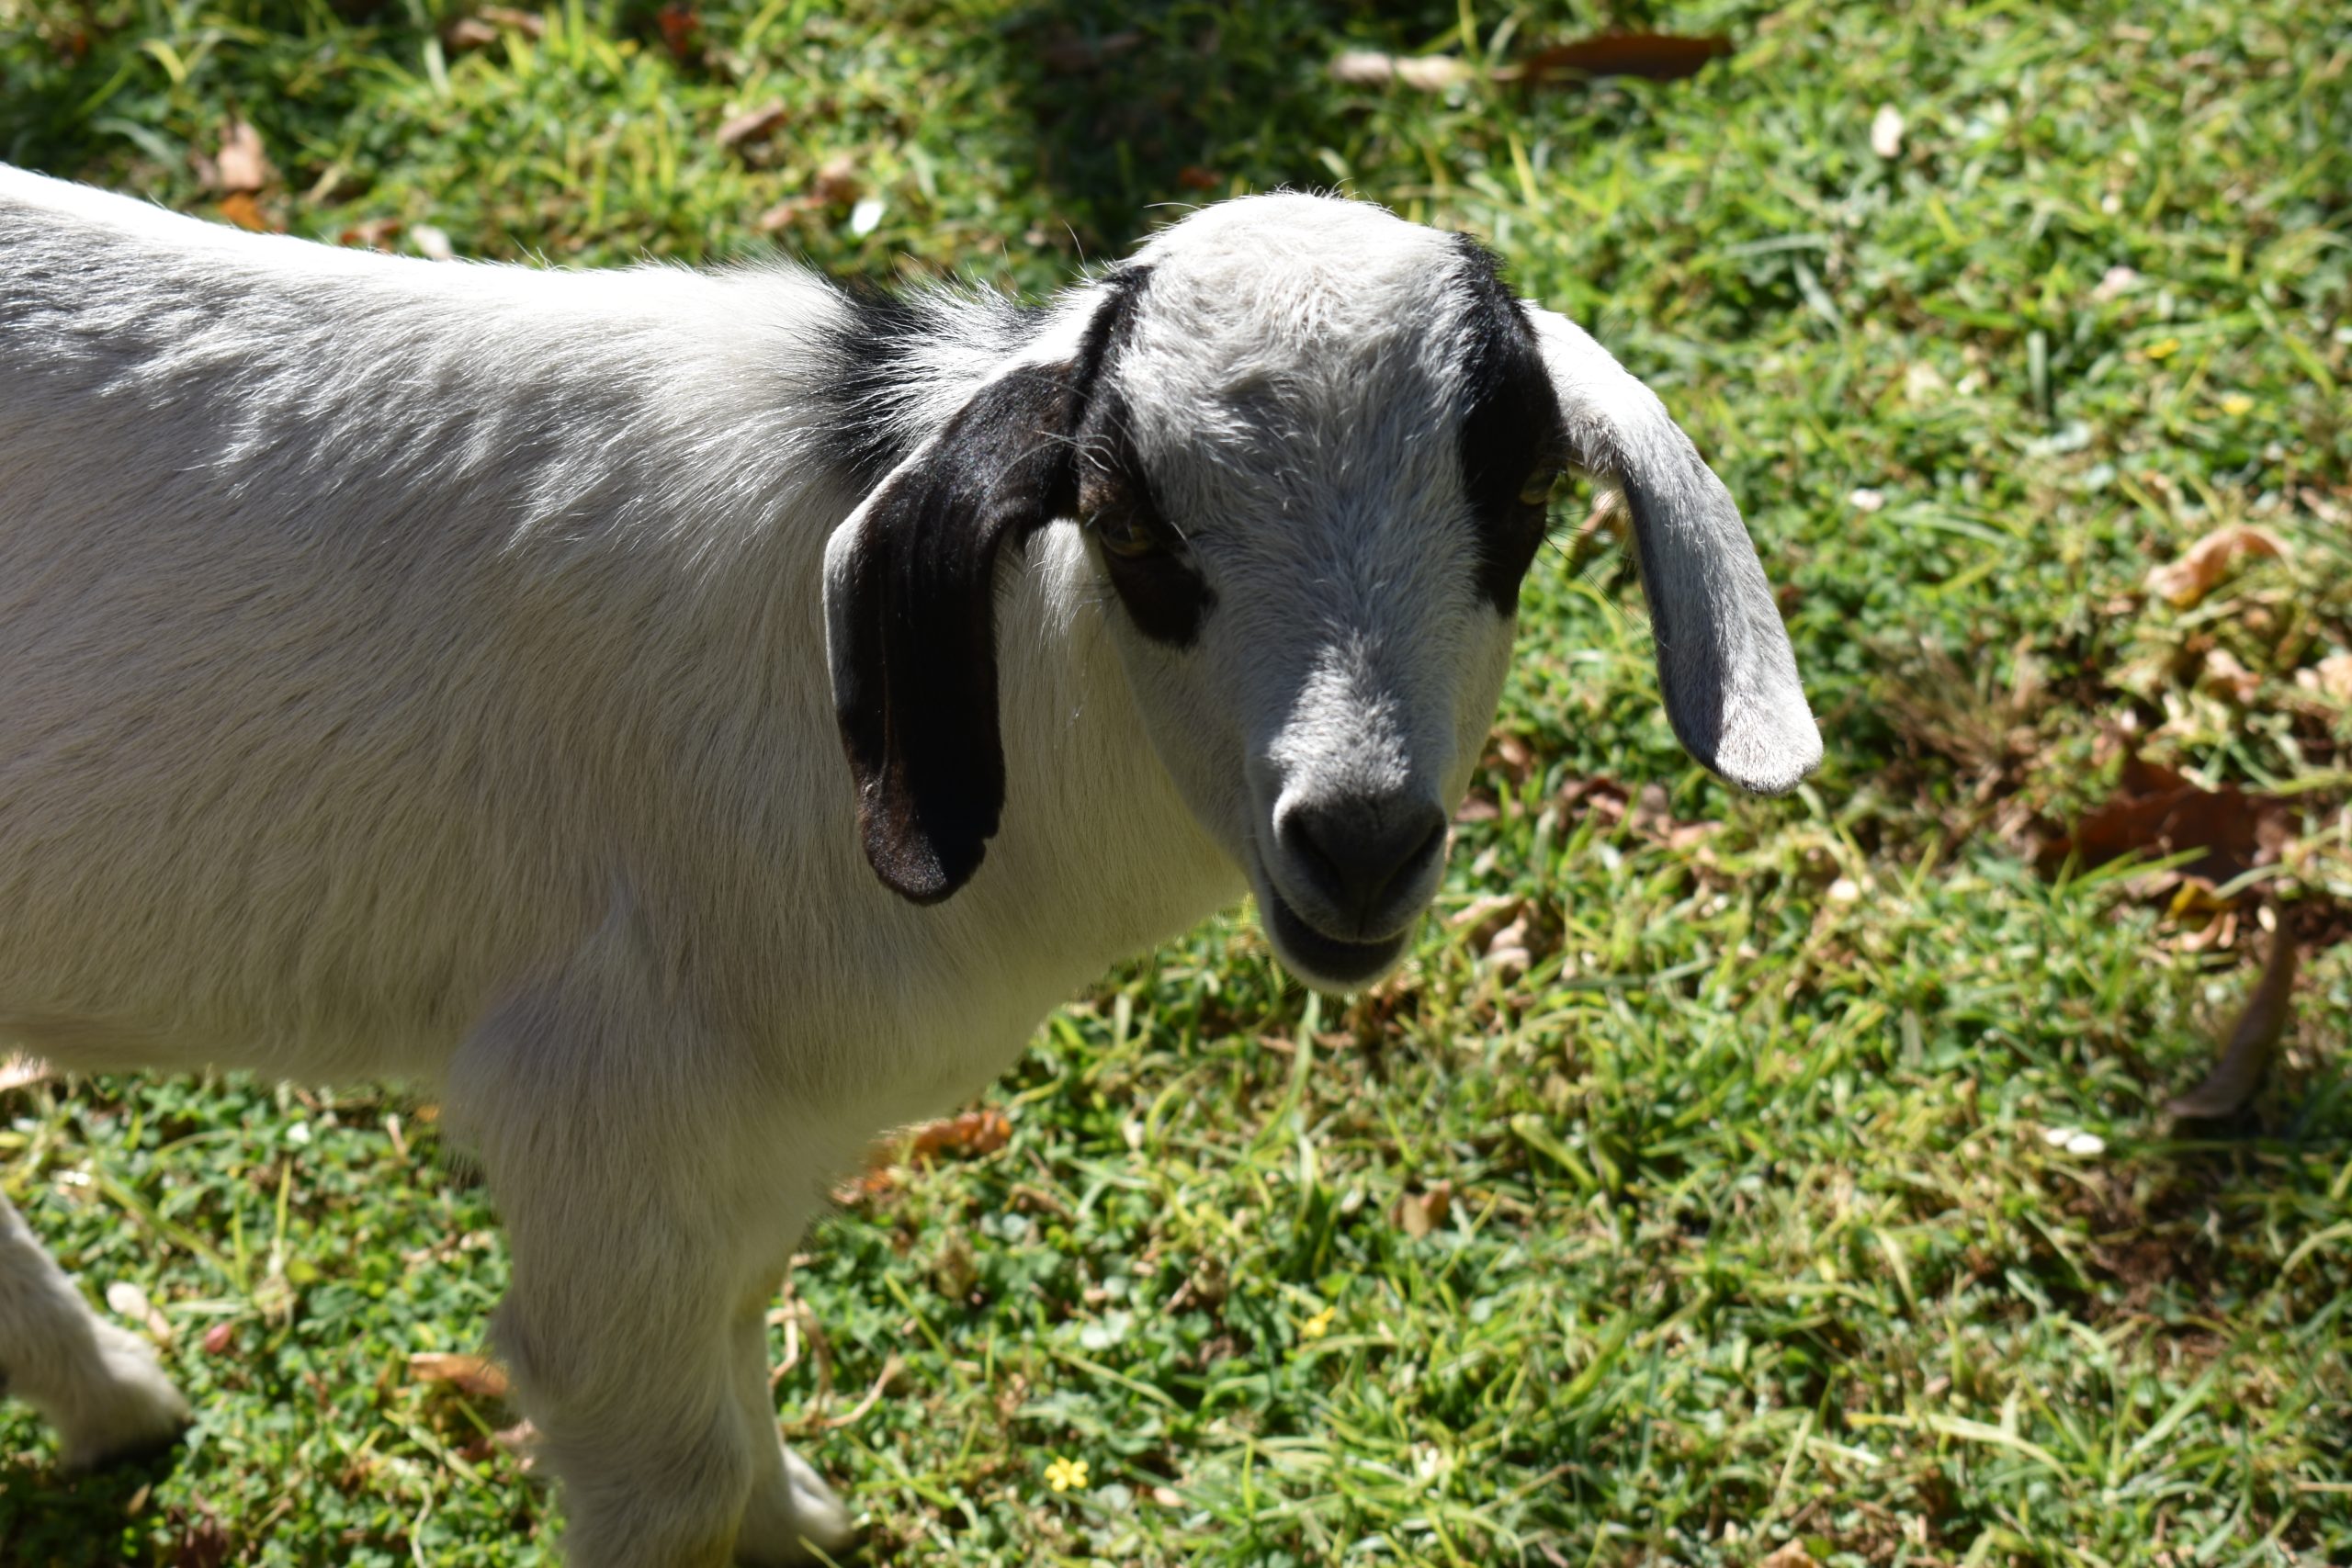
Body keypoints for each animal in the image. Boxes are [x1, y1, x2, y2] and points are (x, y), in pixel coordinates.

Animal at [0, 164, 1820, 1564]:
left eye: (1521, 496)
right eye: (1128, 523)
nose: (1362, 837)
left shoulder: (746, 1156)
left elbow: (742, 1359)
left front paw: (799, 1515)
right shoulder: (614, 1133)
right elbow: (669, 1474)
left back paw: (112, 1399)